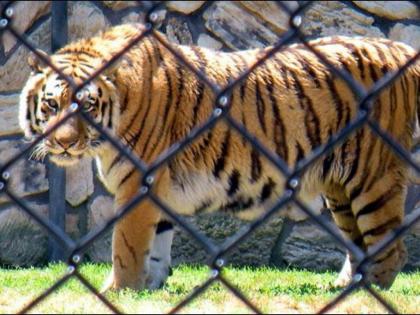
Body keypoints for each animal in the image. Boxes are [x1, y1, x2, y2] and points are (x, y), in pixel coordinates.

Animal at [18, 23, 418, 292]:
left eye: (86, 106)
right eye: (51, 104)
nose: (64, 144)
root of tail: (399, 48)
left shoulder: (138, 183)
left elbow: (126, 244)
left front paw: (119, 291)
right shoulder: (157, 188)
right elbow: (156, 242)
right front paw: (150, 287)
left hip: (372, 177)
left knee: (392, 248)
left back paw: (368, 293)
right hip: (340, 188)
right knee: (359, 244)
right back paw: (344, 286)